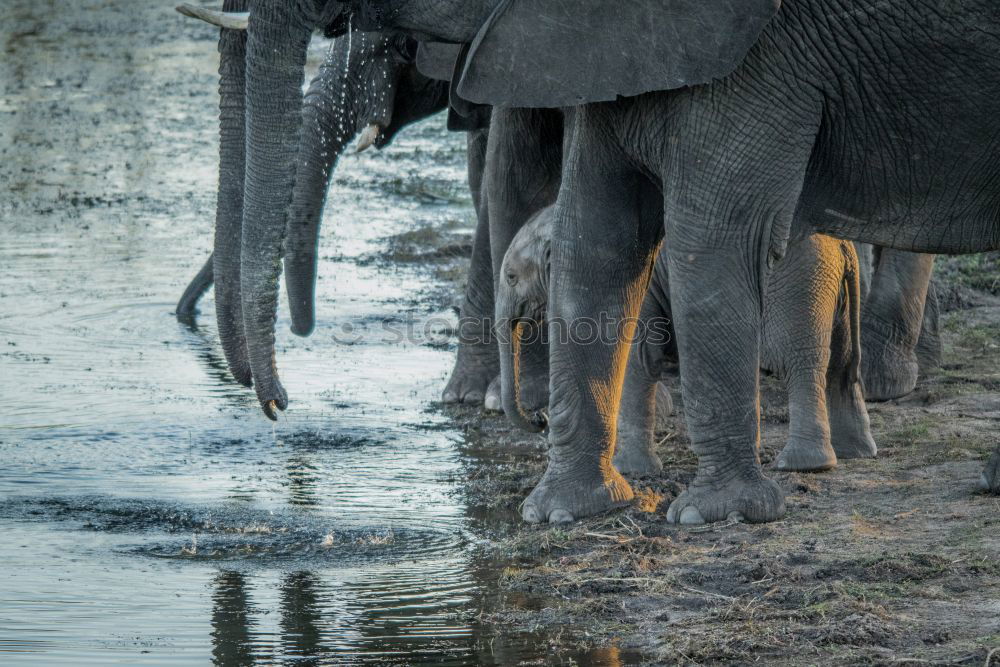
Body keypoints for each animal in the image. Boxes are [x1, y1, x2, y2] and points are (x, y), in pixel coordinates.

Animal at [500, 206, 876, 478]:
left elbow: (638, 359)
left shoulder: (638, 288)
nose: (540, 420)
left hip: (797, 285)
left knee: (796, 363)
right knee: (842, 367)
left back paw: (802, 465)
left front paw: (633, 473)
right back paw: (854, 452)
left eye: (511, 276)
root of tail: (843, 245)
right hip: (828, 286)